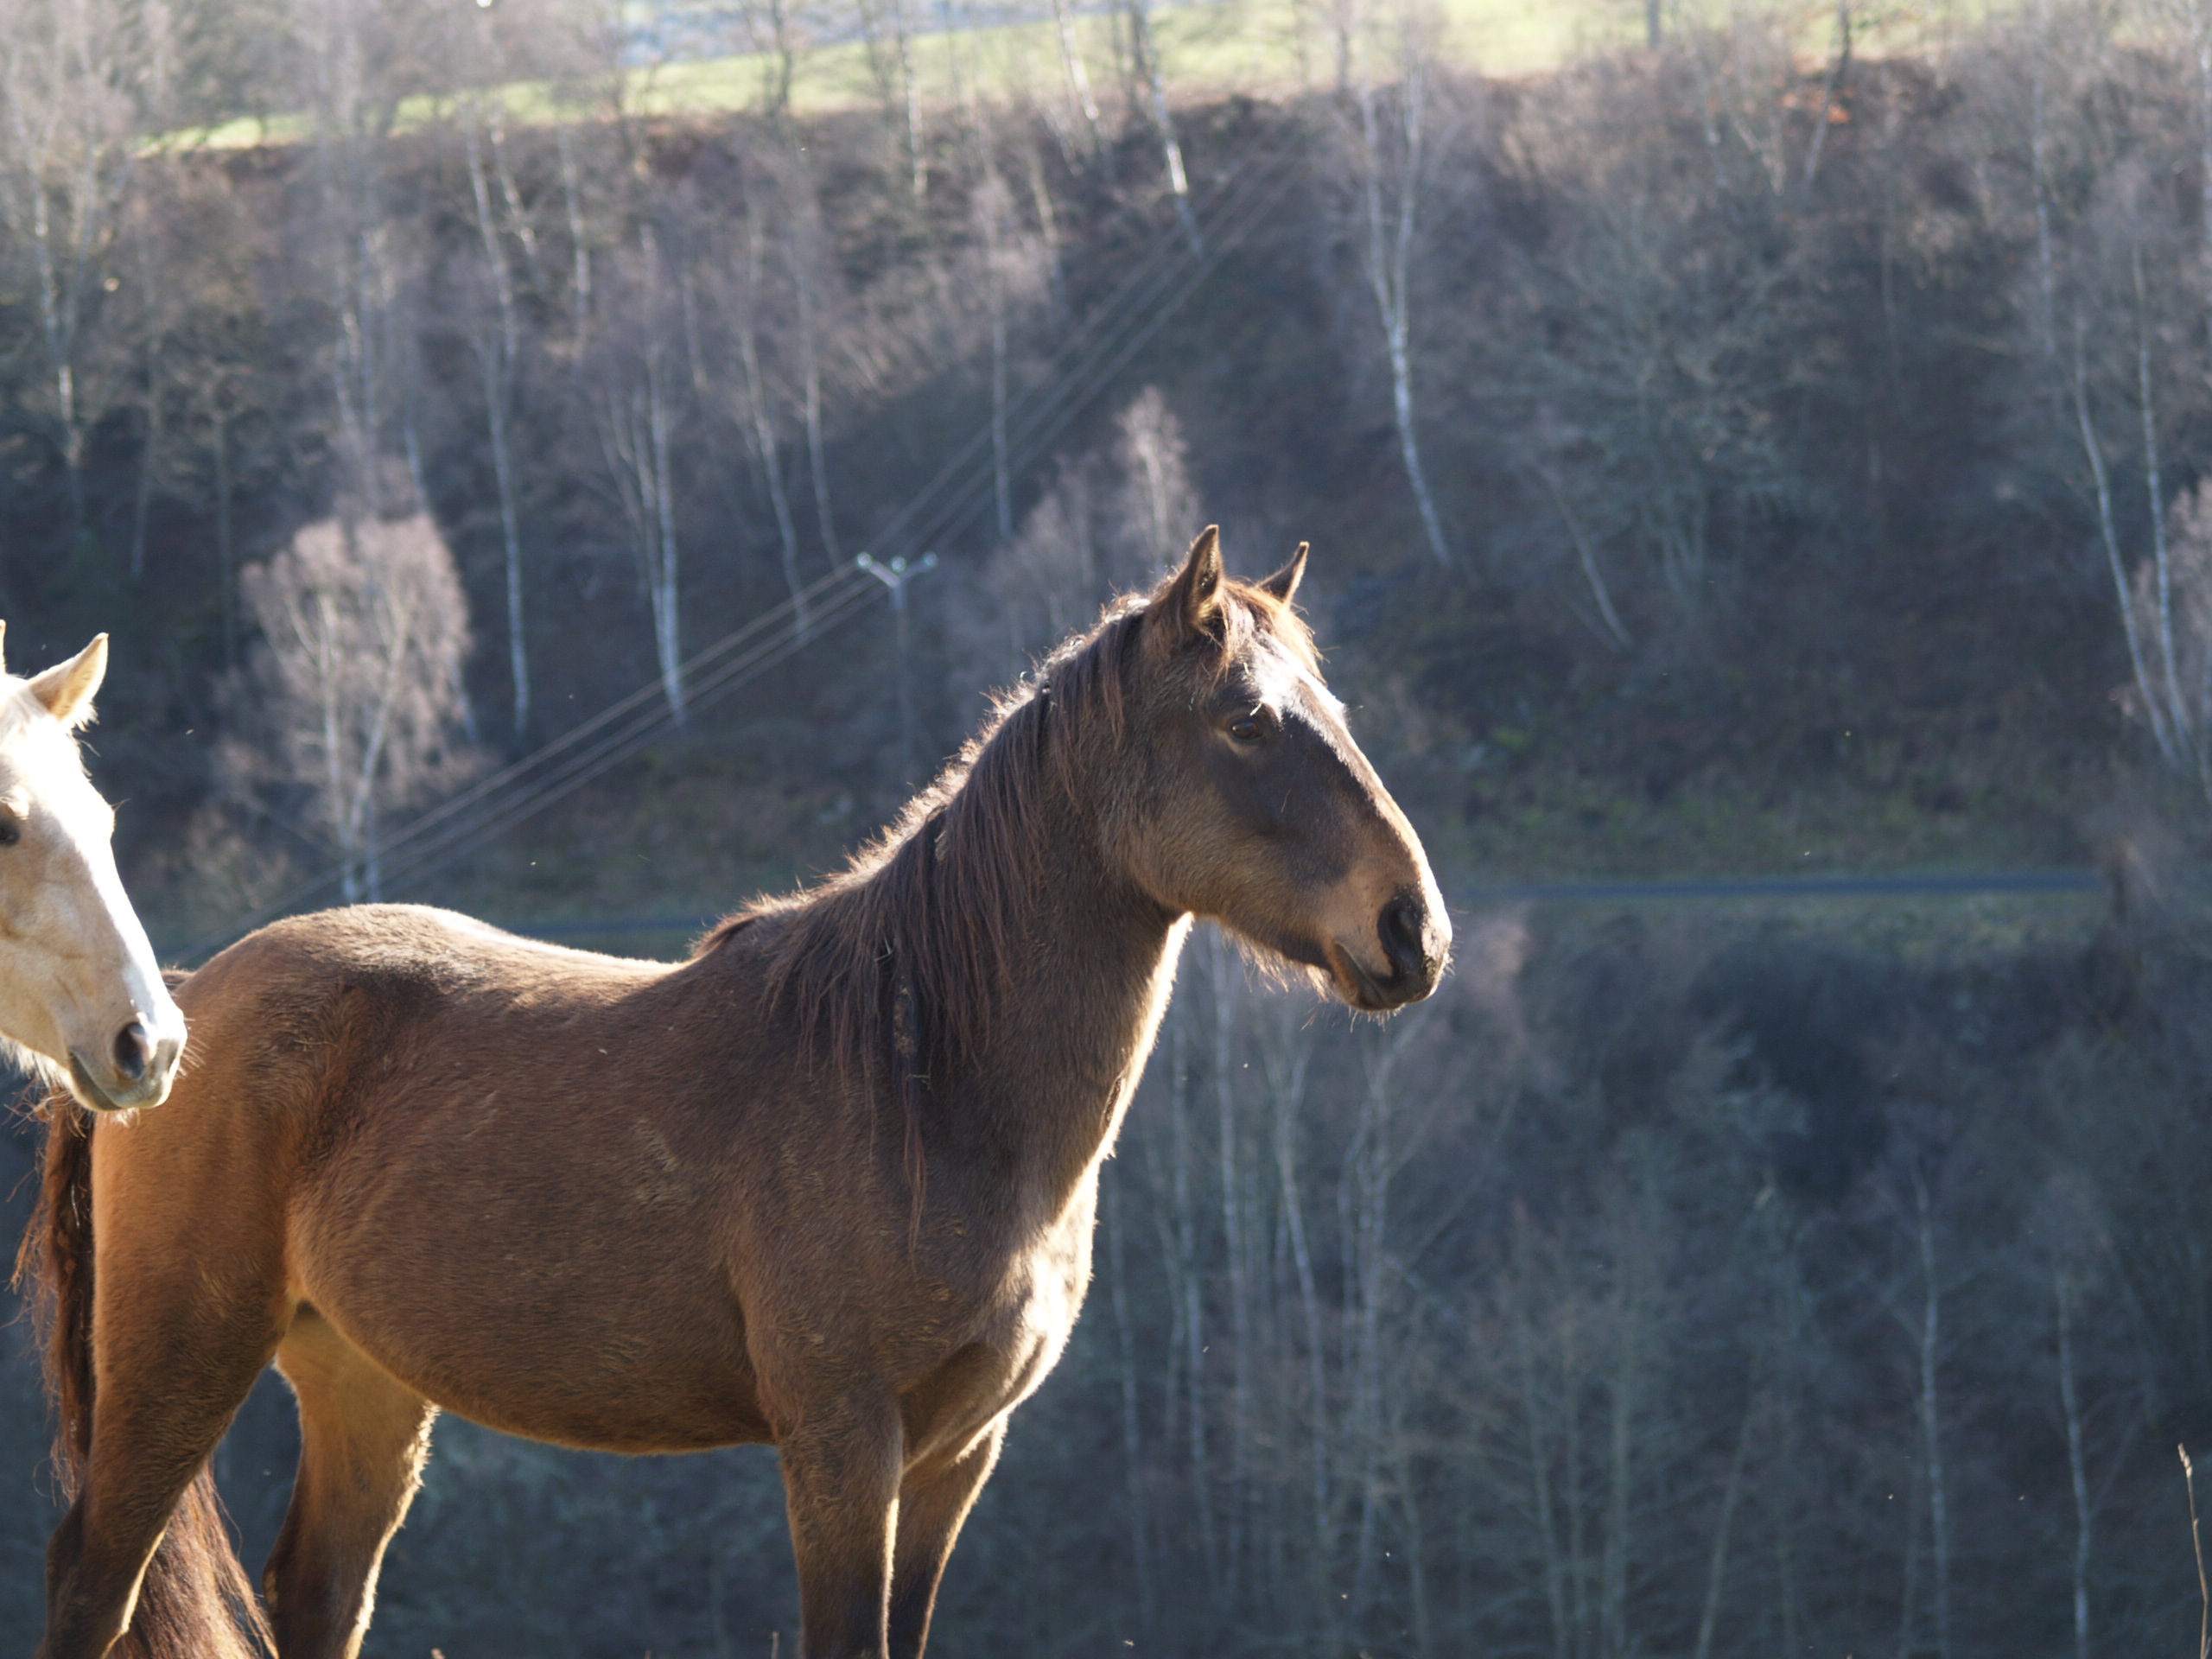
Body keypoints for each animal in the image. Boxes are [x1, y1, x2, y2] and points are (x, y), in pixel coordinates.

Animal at [26, 532, 1459, 1659]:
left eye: (1327, 704)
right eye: (1249, 721)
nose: (1416, 931)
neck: (924, 1082)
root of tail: (176, 1008)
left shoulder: (954, 1459)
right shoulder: (842, 1444)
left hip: (361, 1379)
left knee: (317, 1593)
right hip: (183, 1357)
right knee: (96, 1586)